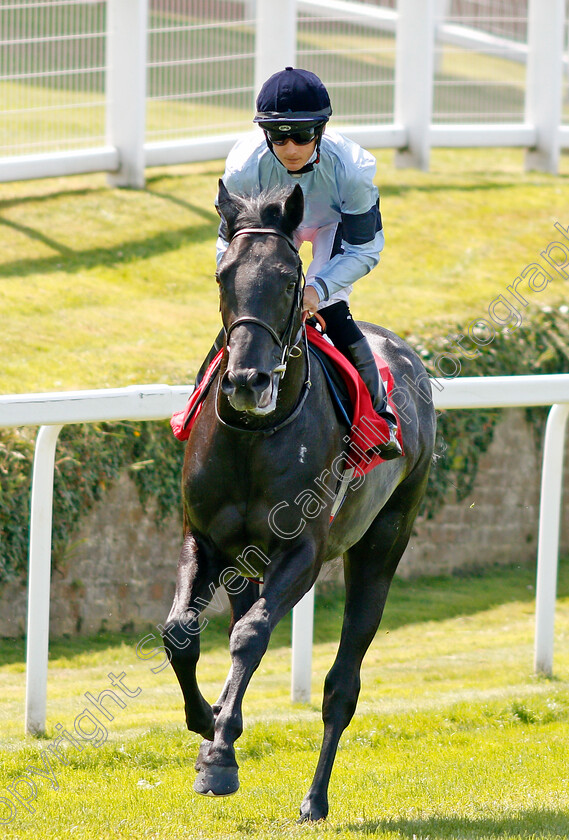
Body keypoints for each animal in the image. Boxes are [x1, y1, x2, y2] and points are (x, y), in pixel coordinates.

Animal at [162, 179, 438, 820]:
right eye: (223, 276)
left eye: (290, 279)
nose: (246, 381)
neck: (253, 435)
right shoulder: (203, 537)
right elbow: (180, 633)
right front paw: (208, 722)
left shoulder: (303, 553)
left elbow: (251, 635)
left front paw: (218, 758)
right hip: (246, 563)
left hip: (384, 541)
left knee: (342, 684)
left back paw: (315, 797)